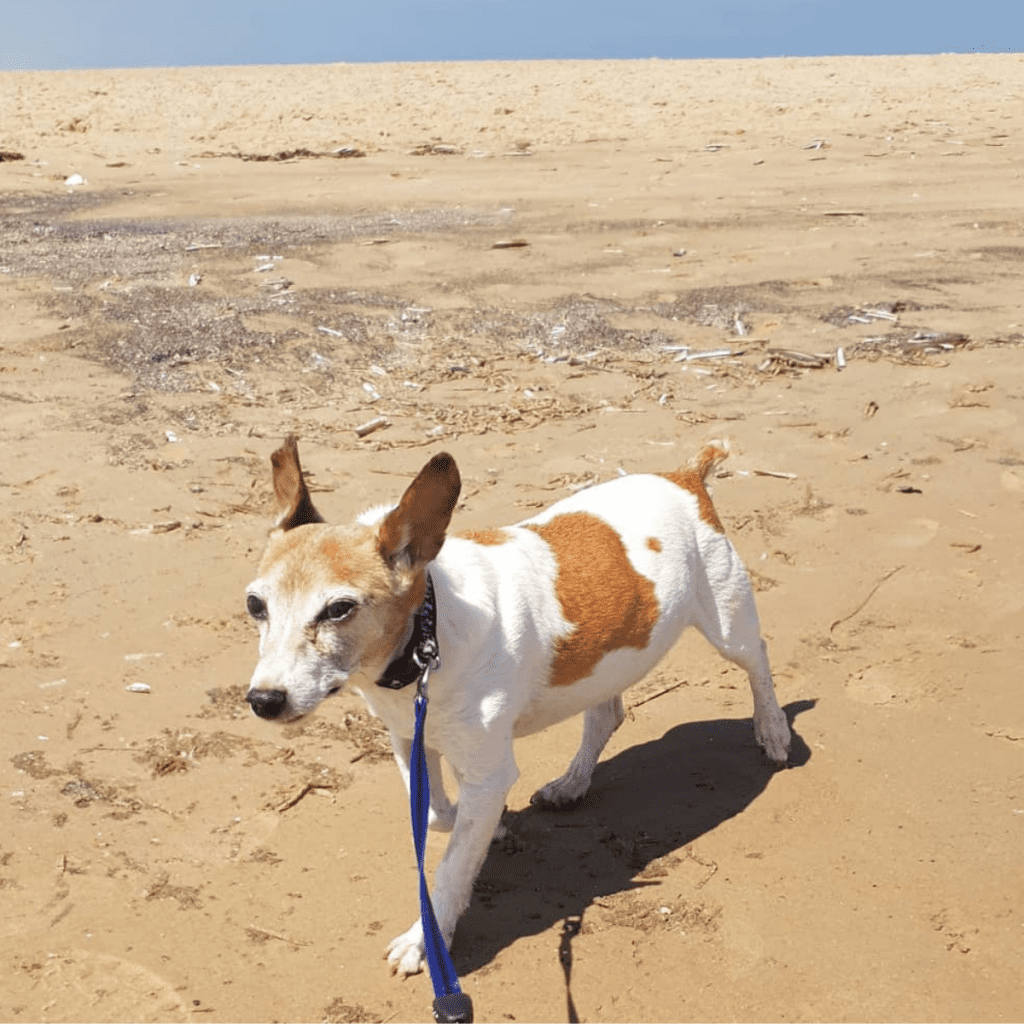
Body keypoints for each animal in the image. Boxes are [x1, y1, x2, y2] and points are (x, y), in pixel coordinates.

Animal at [245, 434, 790, 974]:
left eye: (339, 609)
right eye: (255, 605)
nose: (263, 700)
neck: (428, 633)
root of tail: (685, 476)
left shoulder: (488, 768)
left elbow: (449, 868)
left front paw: (425, 939)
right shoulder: (409, 739)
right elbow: (437, 815)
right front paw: (492, 829)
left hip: (727, 622)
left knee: (759, 659)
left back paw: (773, 730)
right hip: (608, 660)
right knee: (606, 716)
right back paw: (571, 784)